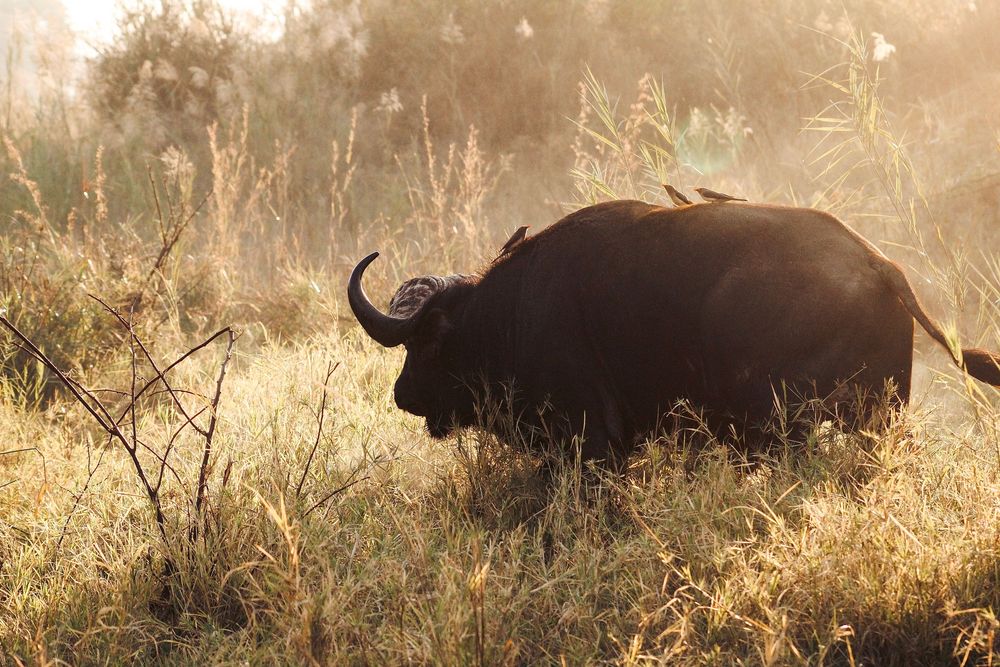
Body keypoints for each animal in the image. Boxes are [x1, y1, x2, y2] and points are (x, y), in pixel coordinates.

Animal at [348, 200, 1000, 465]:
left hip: (777, 423)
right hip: (879, 418)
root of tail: (879, 265)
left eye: (428, 341)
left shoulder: (589, 441)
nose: (402, 394)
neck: (508, 315)